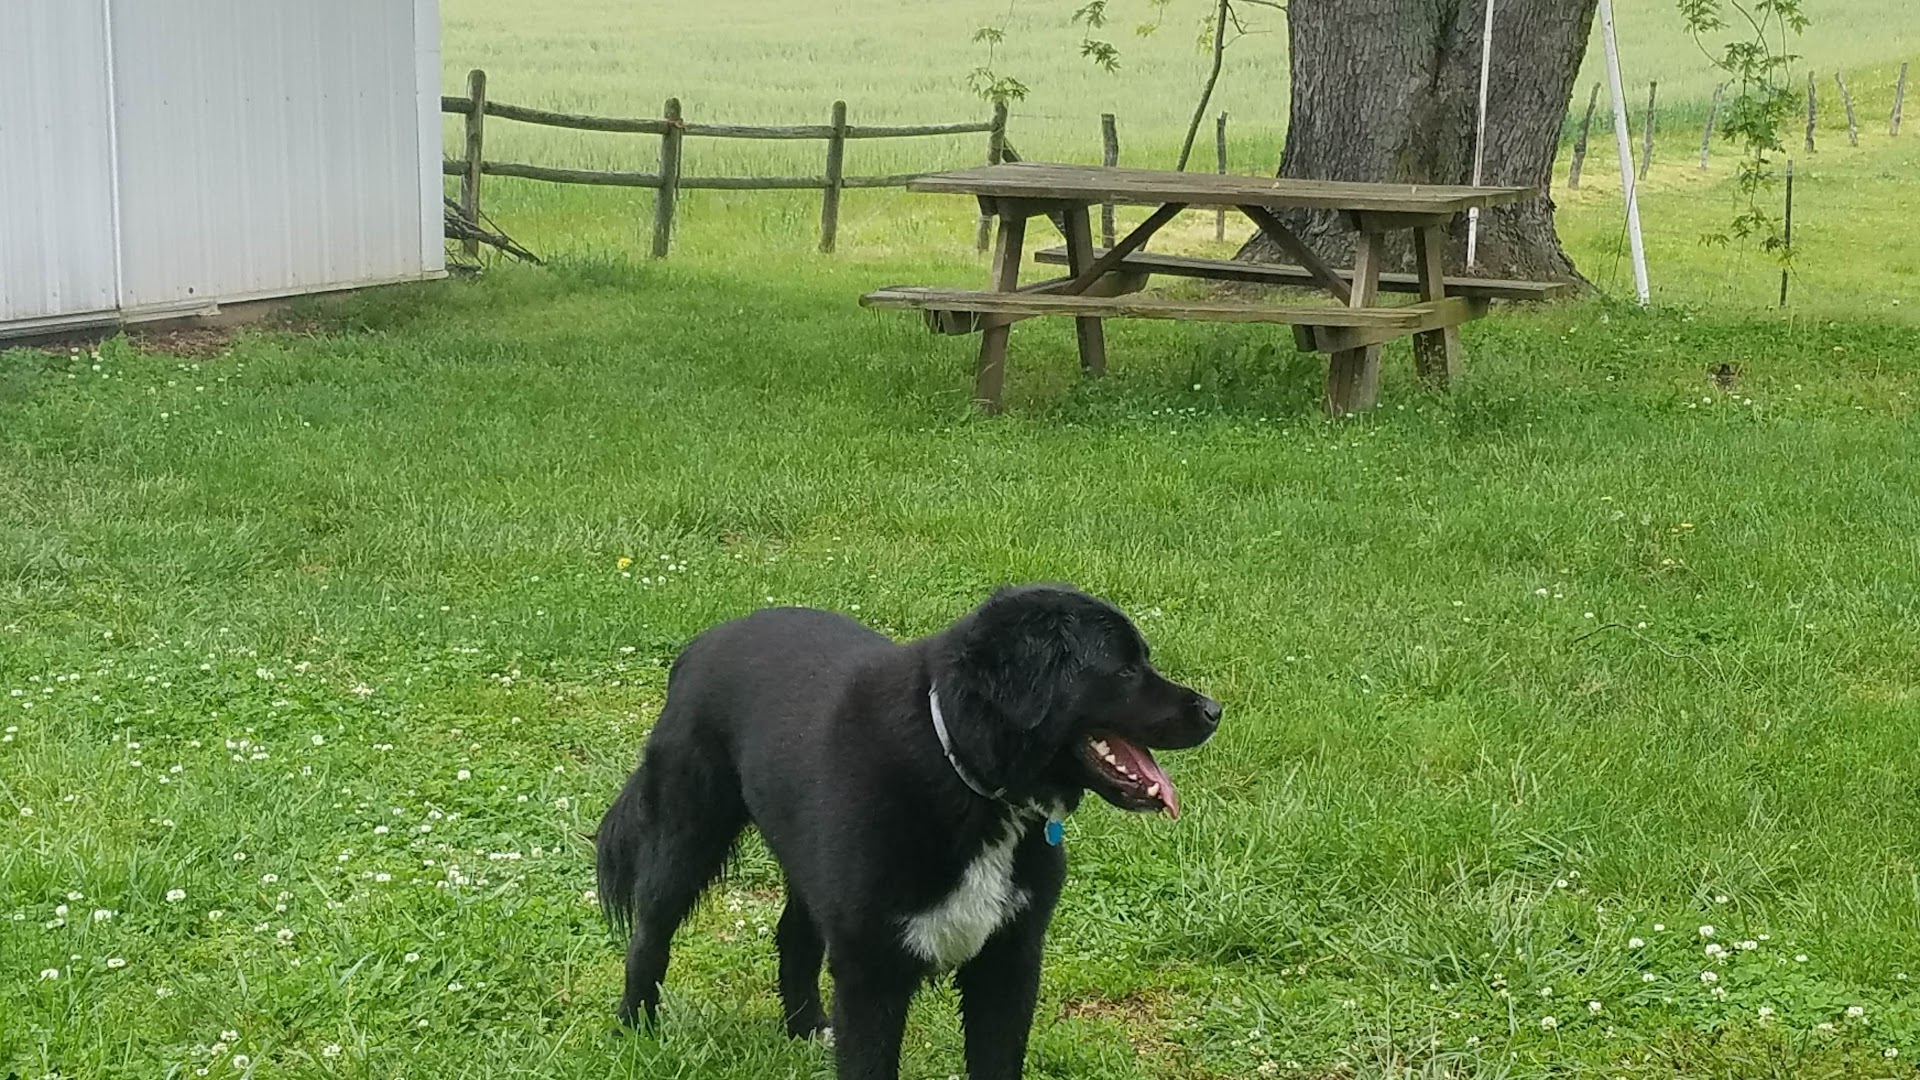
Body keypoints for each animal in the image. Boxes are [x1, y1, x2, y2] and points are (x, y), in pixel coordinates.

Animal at [591, 584, 1221, 1068]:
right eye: (1124, 667)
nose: (1214, 711)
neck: (960, 767)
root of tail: (700, 643)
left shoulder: (1009, 960)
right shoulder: (874, 970)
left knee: (793, 934)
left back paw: (806, 1027)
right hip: (688, 830)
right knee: (650, 931)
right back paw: (636, 1027)